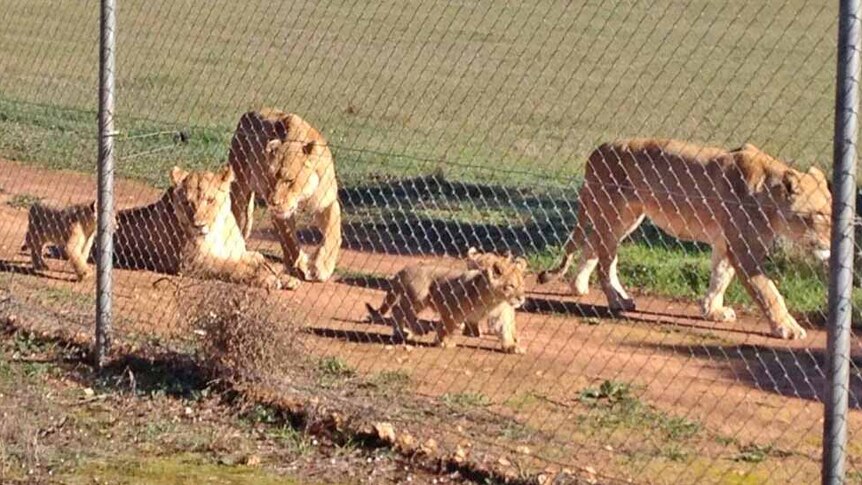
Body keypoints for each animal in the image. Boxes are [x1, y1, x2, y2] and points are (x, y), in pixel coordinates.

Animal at [113, 164, 282, 290]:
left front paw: (277, 273)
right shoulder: (193, 262)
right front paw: (266, 278)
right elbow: (231, 267)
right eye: (187, 203)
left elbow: (260, 258)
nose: (198, 225)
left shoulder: (237, 253)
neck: (218, 230)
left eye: (210, 200)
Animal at [228, 108, 342, 288]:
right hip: (238, 185)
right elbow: (289, 239)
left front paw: (323, 266)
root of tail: (249, 112)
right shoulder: (281, 213)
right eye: (270, 178)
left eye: (289, 180)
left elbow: (333, 232)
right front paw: (300, 264)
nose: (273, 202)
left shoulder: (327, 202)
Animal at [540, 138, 832, 338]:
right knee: (605, 263)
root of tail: (597, 150)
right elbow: (767, 290)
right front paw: (788, 327)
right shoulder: (743, 248)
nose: (831, 244)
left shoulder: (724, 242)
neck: (768, 196)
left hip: (625, 219)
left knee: (593, 247)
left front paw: (713, 311)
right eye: (819, 215)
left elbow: (720, 278)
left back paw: (579, 286)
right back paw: (617, 300)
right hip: (613, 215)